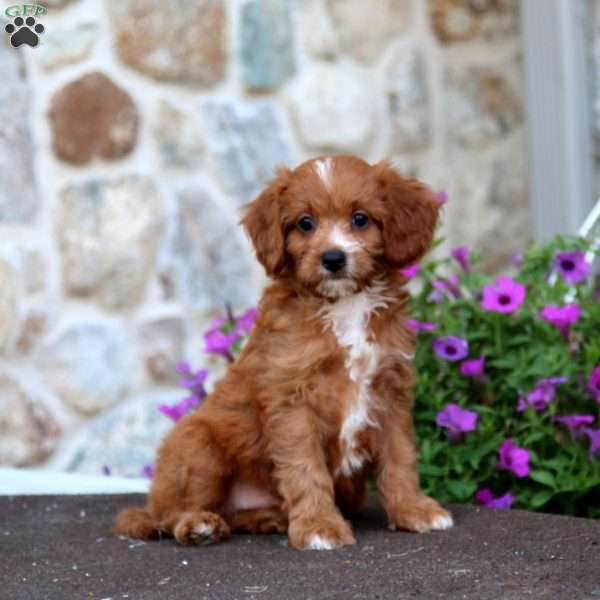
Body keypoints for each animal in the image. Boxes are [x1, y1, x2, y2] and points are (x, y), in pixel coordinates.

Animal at [112, 155, 452, 548]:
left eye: (361, 219)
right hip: (197, 443)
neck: (344, 305)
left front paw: (414, 510)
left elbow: (400, 459)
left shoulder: (390, 391)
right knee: (168, 515)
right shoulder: (292, 399)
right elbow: (305, 468)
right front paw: (319, 526)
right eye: (305, 223)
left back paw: (267, 518)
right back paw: (199, 525)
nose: (333, 258)